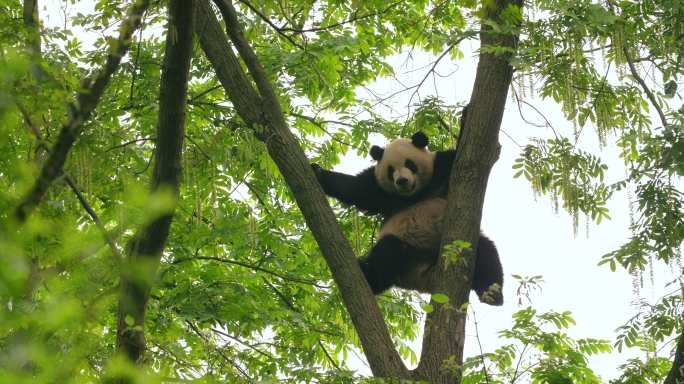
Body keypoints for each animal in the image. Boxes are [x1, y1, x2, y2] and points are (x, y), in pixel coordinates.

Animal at [314, 132, 502, 306]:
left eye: (409, 164)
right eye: (391, 171)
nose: (402, 181)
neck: (415, 194)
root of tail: (425, 278)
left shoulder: (442, 167)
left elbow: (471, 154)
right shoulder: (379, 190)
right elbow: (353, 188)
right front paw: (318, 172)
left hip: (461, 246)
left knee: (485, 254)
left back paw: (492, 295)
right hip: (406, 252)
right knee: (387, 252)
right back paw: (369, 276)